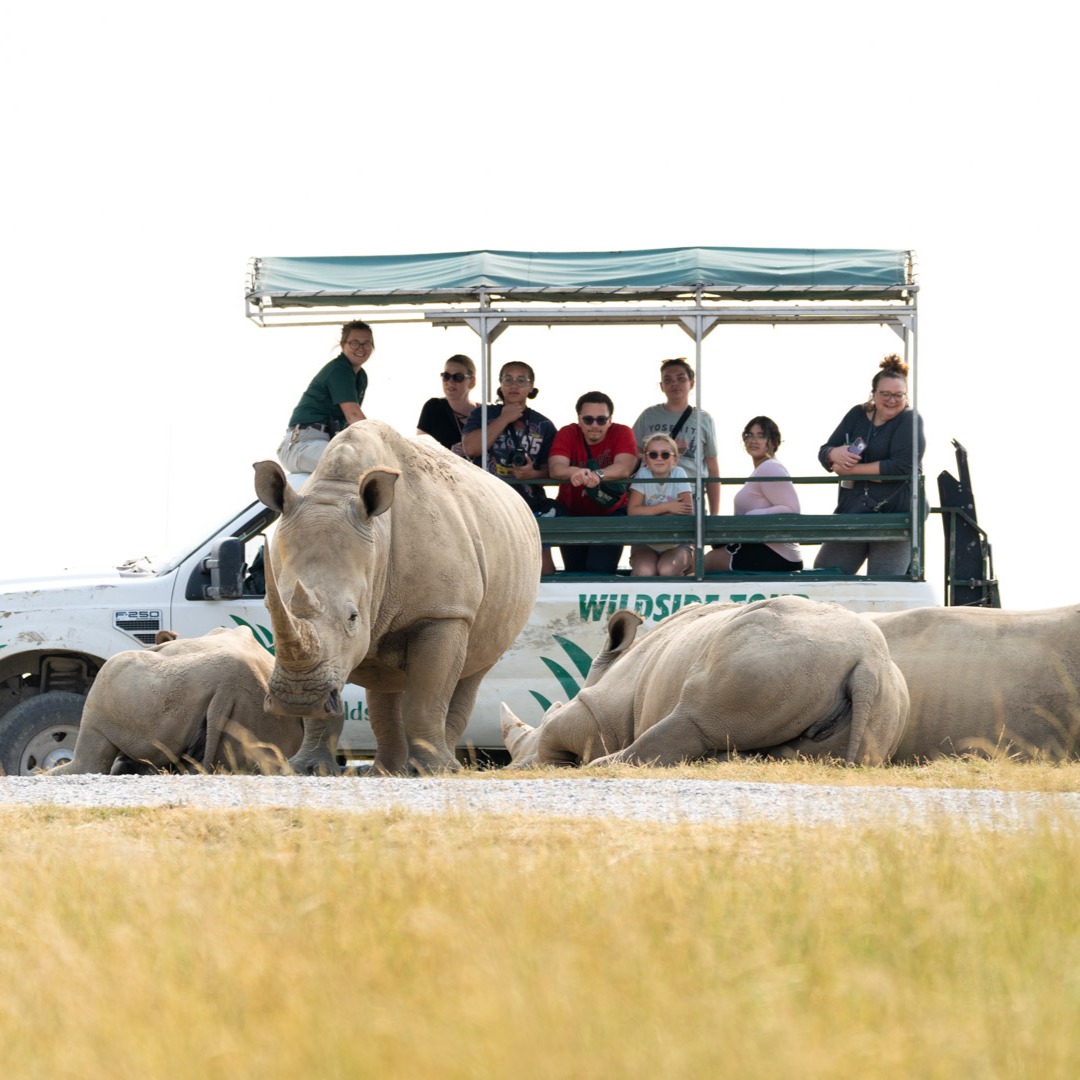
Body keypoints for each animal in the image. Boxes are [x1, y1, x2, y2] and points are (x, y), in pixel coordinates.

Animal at [501, 600, 907, 768]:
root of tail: (868, 664)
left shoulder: (599, 708)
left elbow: (559, 729)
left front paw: (531, 766)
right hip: (883, 696)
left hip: (766, 655)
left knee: (695, 717)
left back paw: (602, 765)